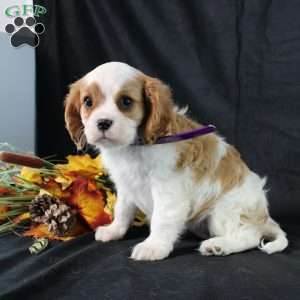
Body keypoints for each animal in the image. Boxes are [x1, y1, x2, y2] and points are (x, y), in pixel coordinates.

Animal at [64, 61, 288, 260]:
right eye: (88, 102)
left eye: (126, 102)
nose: (103, 122)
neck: (136, 145)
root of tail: (264, 216)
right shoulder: (126, 186)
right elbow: (122, 210)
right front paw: (114, 231)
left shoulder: (168, 190)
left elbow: (162, 219)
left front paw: (153, 247)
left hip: (225, 211)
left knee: (250, 235)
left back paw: (219, 245)